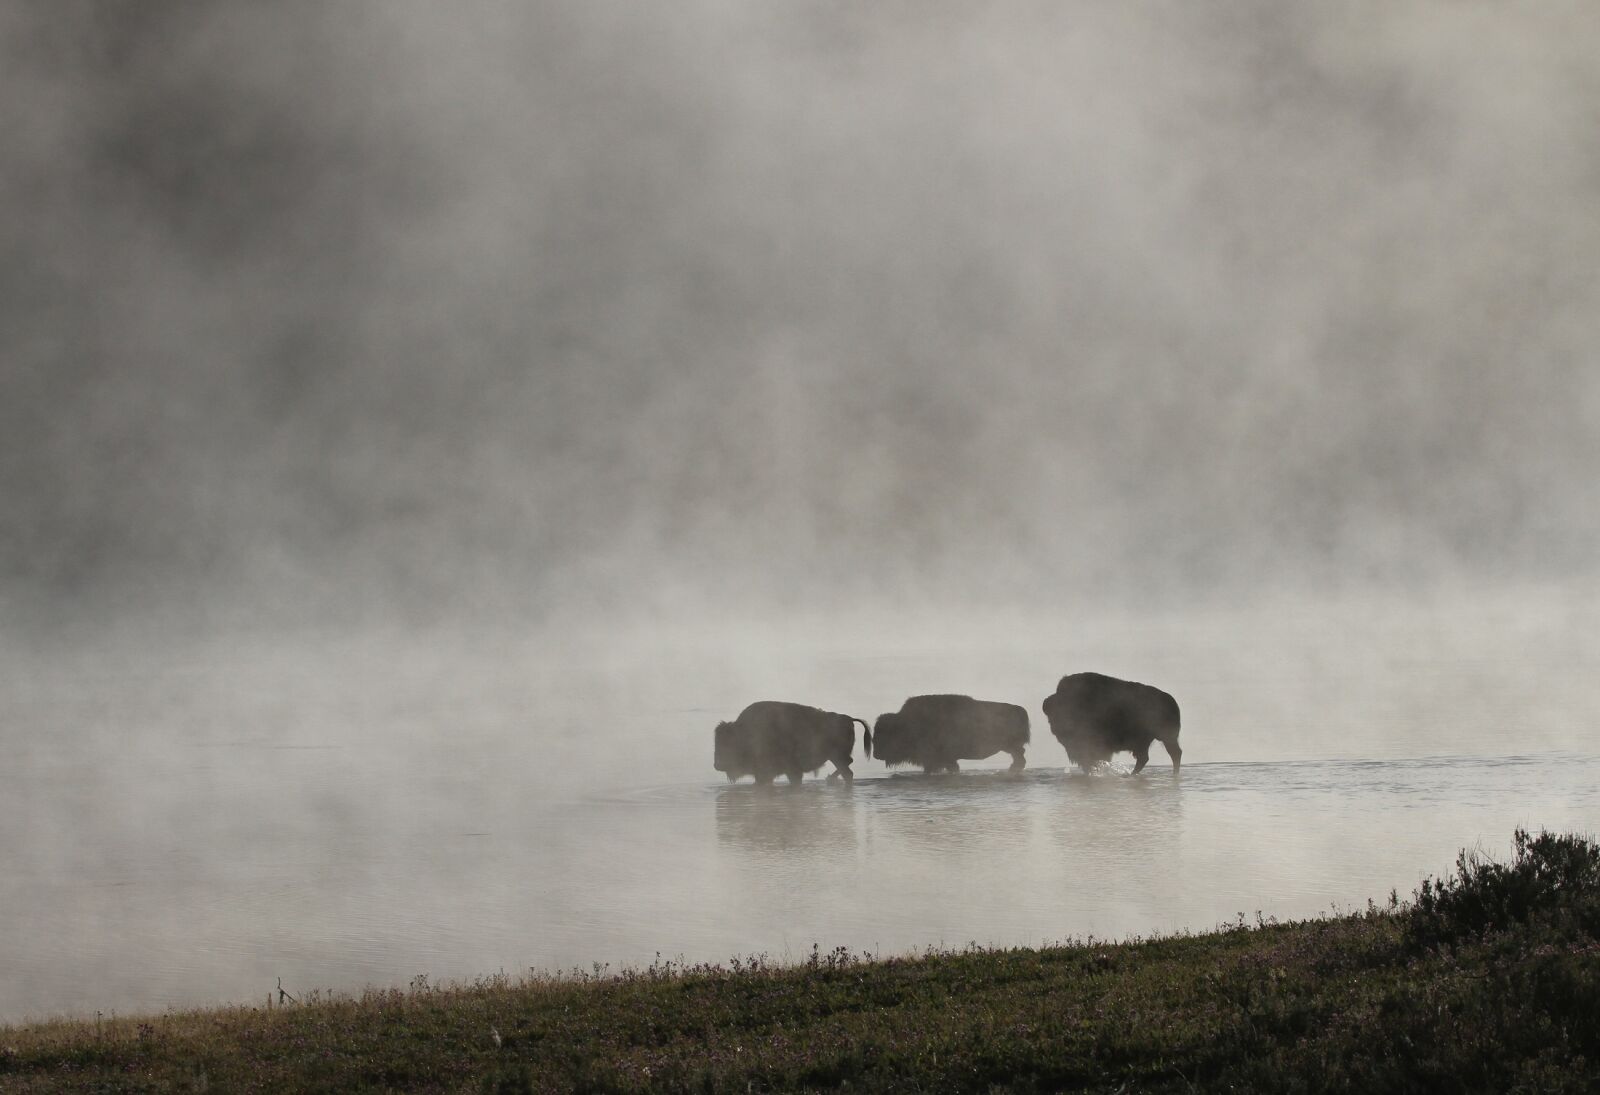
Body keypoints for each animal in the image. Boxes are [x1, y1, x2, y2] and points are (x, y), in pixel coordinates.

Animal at [713, 701, 869, 785]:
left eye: (728, 743)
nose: (717, 765)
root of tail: (848, 719)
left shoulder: (786, 771)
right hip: (836, 757)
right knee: (848, 769)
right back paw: (830, 779)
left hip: (836, 757)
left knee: (848, 771)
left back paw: (830, 779)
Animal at [869, 694, 1030, 774]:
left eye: (885, 735)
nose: (876, 754)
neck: (905, 724)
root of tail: (1020, 710)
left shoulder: (937, 759)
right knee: (1020, 755)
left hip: (1009, 746)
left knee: (1019, 756)